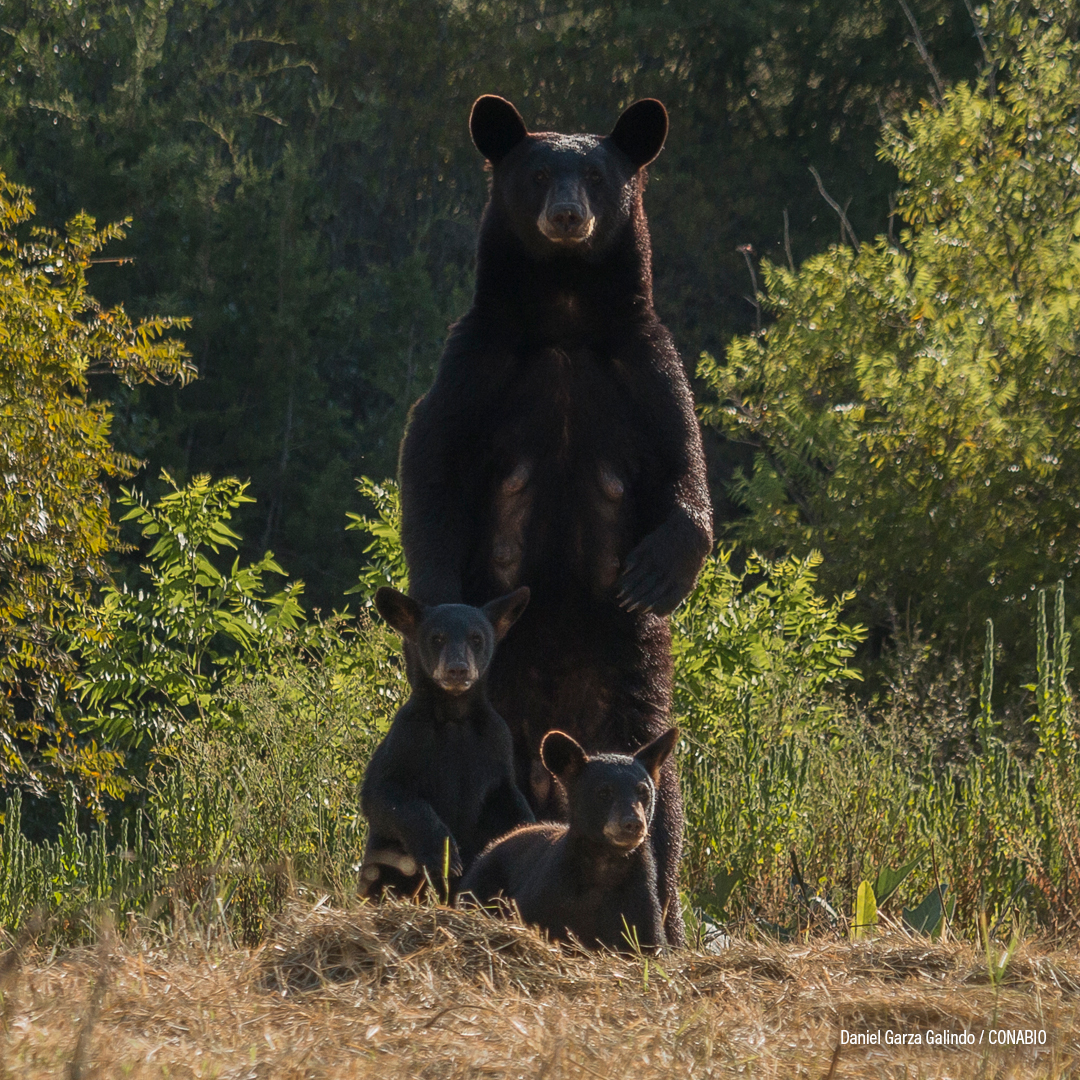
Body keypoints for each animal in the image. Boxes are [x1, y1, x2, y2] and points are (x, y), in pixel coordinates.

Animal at [360, 587, 533, 898]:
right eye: (437, 638)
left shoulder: (496, 745)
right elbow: (385, 794)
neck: (454, 715)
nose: (457, 670)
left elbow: (510, 802)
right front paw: (444, 857)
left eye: (476, 638)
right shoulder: (407, 737)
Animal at [460, 725, 678, 954]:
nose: (633, 823)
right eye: (604, 792)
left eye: (643, 792)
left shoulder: (640, 907)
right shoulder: (546, 895)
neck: (605, 865)